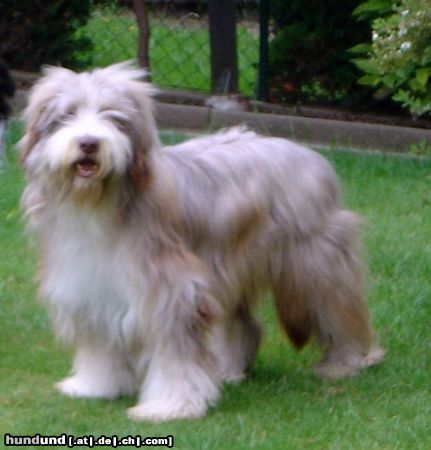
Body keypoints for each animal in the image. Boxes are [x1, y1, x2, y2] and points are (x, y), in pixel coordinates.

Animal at [20, 63, 384, 422]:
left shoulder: (172, 290)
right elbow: (100, 345)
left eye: (114, 118)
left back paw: (346, 362)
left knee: (339, 309)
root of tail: (307, 154)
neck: (100, 203)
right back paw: (228, 369)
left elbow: (176, 357)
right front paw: (97, 386)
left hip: (314, 264)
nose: (89, 143)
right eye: (67, 115)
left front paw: (171, 405)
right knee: (245, 324)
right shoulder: (90, 286)